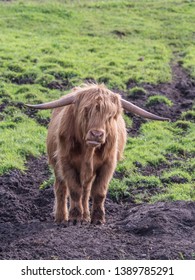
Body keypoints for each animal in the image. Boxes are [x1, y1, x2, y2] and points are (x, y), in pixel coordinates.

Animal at [26, 83, 168, 225]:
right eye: (86, 110)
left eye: (111, 115)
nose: (96, 134)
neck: (89, 152)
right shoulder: (66, 163)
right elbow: (74, 190)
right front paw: (75, 218)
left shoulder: (108, 165)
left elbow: (99, 192)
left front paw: (97, 219)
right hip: (57, 165)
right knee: (61, 188)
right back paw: (61, 217)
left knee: (86, 191)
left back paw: (86, 216)